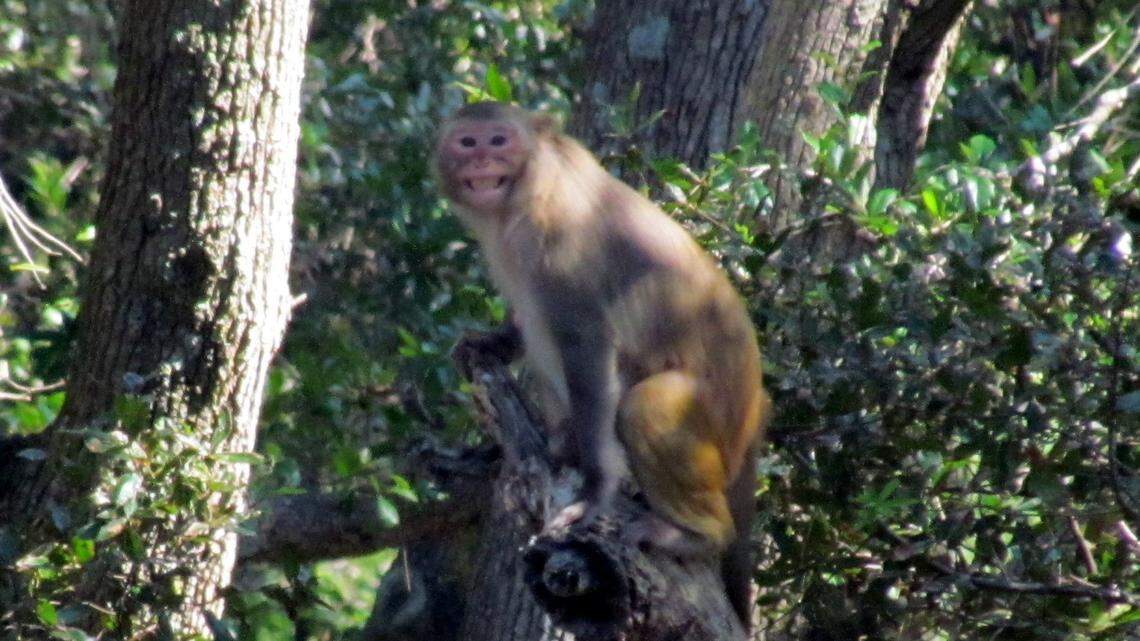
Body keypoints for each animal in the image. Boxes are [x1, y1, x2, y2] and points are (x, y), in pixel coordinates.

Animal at [434, 101, 771, 624]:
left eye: (498, 140)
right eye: (467, 142)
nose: (482, 162)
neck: (527, 188)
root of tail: (757, 410)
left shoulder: (559, 243)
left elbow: (587, 344)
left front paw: (594, 491)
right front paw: (492, 343)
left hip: (718, 425)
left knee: (647, 405)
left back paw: (696, 535)